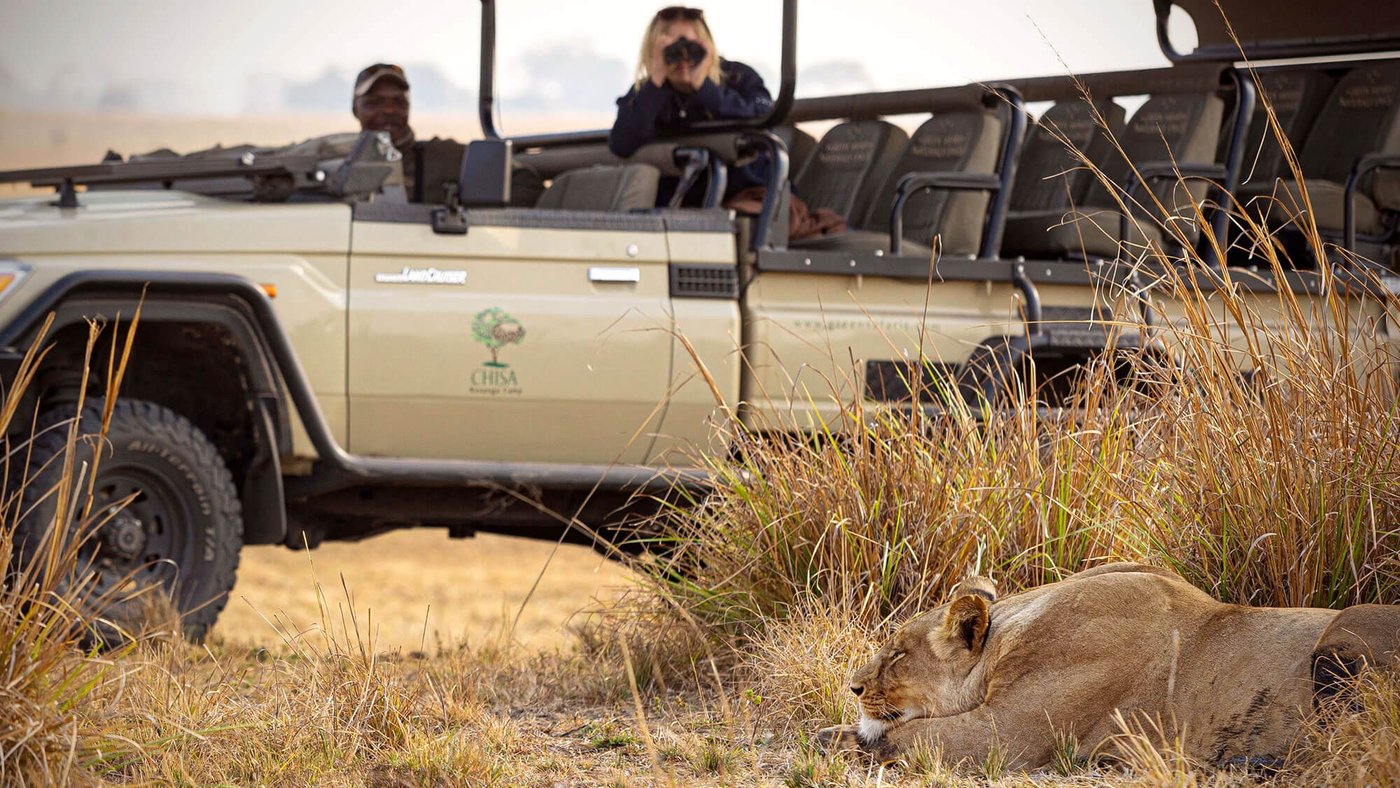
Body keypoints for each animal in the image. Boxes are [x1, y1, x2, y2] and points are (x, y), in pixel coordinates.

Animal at [817, 562, 1400, 770]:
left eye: (897, 654)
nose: (852, 687)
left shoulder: (1005, 736)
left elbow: (906, 738)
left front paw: (837, 738)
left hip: (1340, 637)